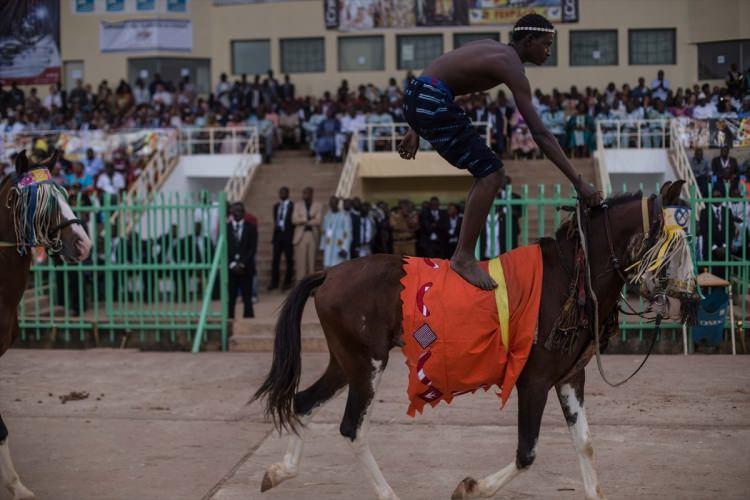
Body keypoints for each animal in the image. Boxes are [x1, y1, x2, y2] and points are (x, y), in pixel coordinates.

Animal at [254, 181, 700, 500]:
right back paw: (385, 492)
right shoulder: (534, 381)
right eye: (675, 245)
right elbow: (526, 453)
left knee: (303, 402)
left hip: (346, 362)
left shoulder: (570, 378)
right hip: (368, 364)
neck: (571, 276)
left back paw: (280, 471)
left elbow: (586, 445)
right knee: (352, 428)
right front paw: (470, 488)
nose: (692, 299)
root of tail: (329, 273)